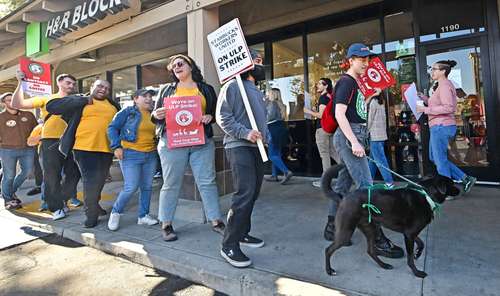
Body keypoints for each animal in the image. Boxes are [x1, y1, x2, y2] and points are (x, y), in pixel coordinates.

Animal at [322, 164, 458, 278]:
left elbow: (421, 243)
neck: (426, 194)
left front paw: (418, 253)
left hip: (370, 228)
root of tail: (343, 197)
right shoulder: (409, 234)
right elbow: (410, 259)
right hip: (346, 232)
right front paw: (416, 272)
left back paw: (384, 265)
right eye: (451, 184)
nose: (460, 190)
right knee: (328, 250)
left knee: (371, 251)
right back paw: (329, 270)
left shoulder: (409, 233)